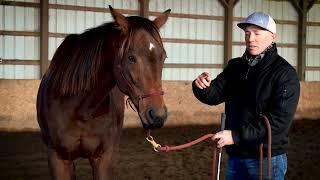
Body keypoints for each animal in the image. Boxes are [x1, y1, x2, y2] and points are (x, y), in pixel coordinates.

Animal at [36, 5, 171, 180]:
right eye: (131, 57)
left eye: (163, 57)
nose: (157, 115)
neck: (81, 109)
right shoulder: (58, 159)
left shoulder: (104, 159)